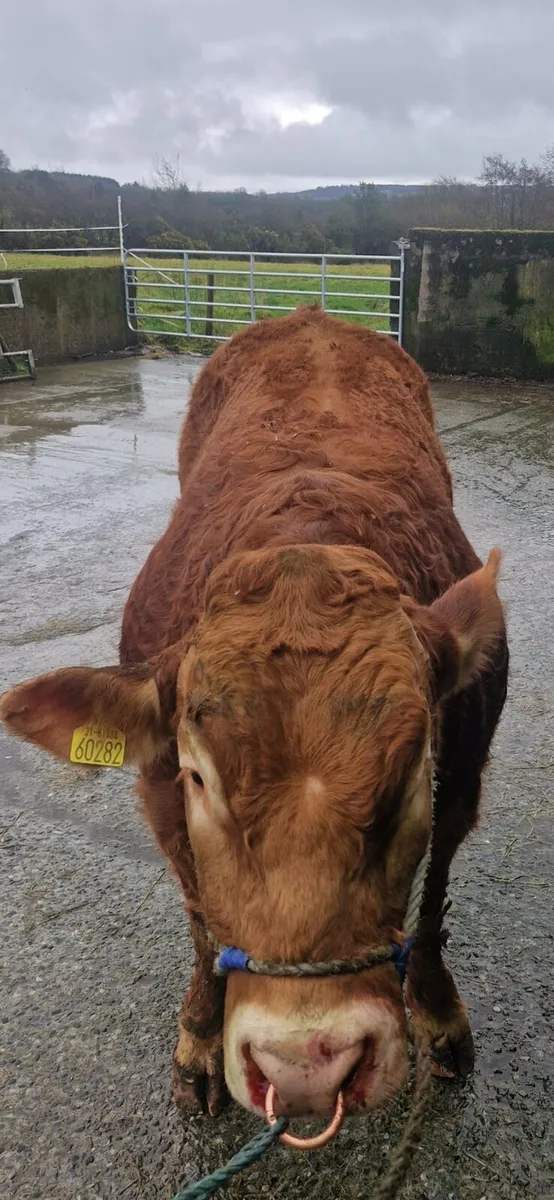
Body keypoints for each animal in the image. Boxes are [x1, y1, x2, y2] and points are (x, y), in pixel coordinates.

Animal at [0, 308, 508, 1125]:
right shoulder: (159, 787)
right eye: (200, 779)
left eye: (410, 775)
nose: (307, 1067)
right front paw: (201, 1035)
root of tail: (311, 315)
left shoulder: (463, 771)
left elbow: (433, 900)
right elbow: (202, 918)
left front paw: (436, 1010)